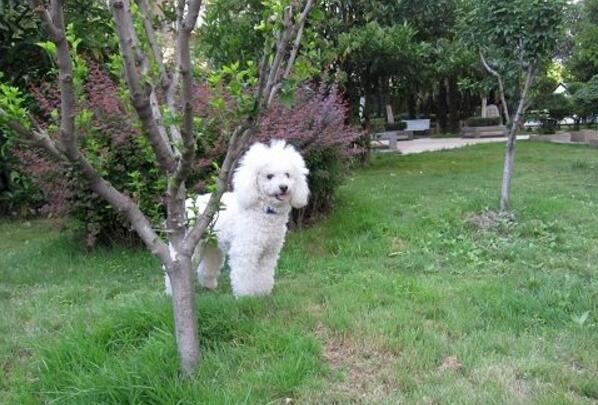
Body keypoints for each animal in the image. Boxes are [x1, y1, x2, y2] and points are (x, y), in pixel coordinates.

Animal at [166, 139, 312, 296]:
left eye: (287, 175)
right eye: (269, 176)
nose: (284, 187)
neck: (263, 210)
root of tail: (187, 203)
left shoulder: (269, 253)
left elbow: (264, 274)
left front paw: (263, 293)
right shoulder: (245, 250)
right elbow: (244, 275)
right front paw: (246, 296)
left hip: (211, 244)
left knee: (208, 264)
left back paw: (208, 286)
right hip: (190, 244)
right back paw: (171, 292)